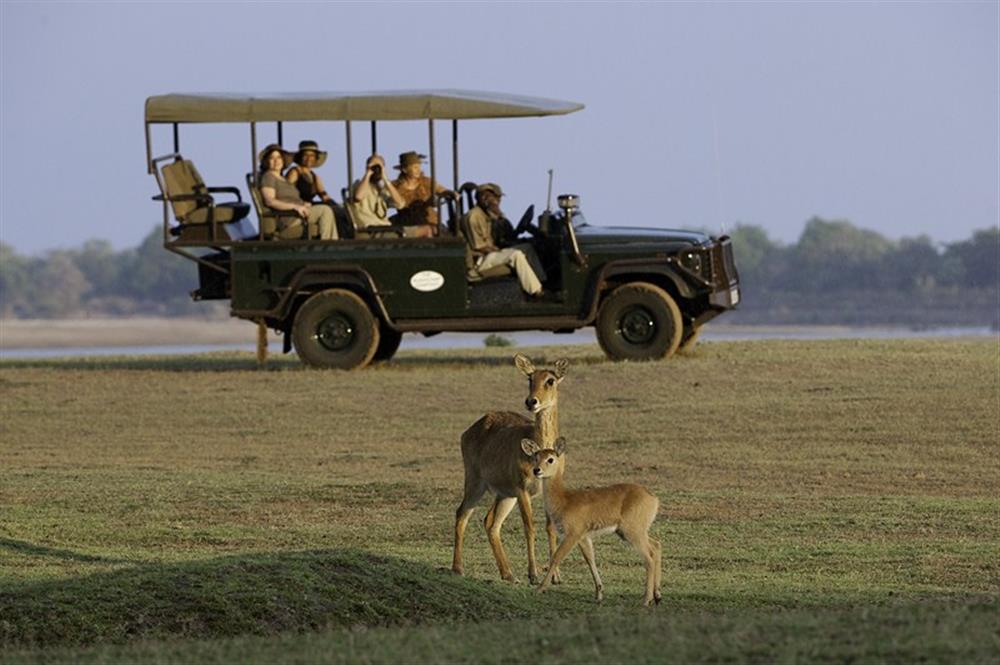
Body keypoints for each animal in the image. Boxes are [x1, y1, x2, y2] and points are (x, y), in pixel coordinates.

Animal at [456, 352, 572, 580]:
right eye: (530, 378)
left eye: (550, 380)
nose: (531, 401)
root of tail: (470, 429)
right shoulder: (522, 490)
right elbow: (530, 527)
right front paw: (533, 574)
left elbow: (550, 528)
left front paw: (555, 576)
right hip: (476, 484)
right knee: (462, 513)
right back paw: (458, 568)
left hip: (504, 495)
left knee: (490, 522)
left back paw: (508, 574)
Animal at [524, 438, 664, 604]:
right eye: (536, 456)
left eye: (550, 459)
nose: (537, 470)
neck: (564, 500)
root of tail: (653, 497)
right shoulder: (584, 538)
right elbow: (590, 560)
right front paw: (599, 593)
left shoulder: (572, 535)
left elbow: (556, 557)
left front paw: (540, 588)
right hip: (633, 532)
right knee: (656, 546)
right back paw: (657, 595)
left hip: (632, 533)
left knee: (648, 558)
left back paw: (646, 600)